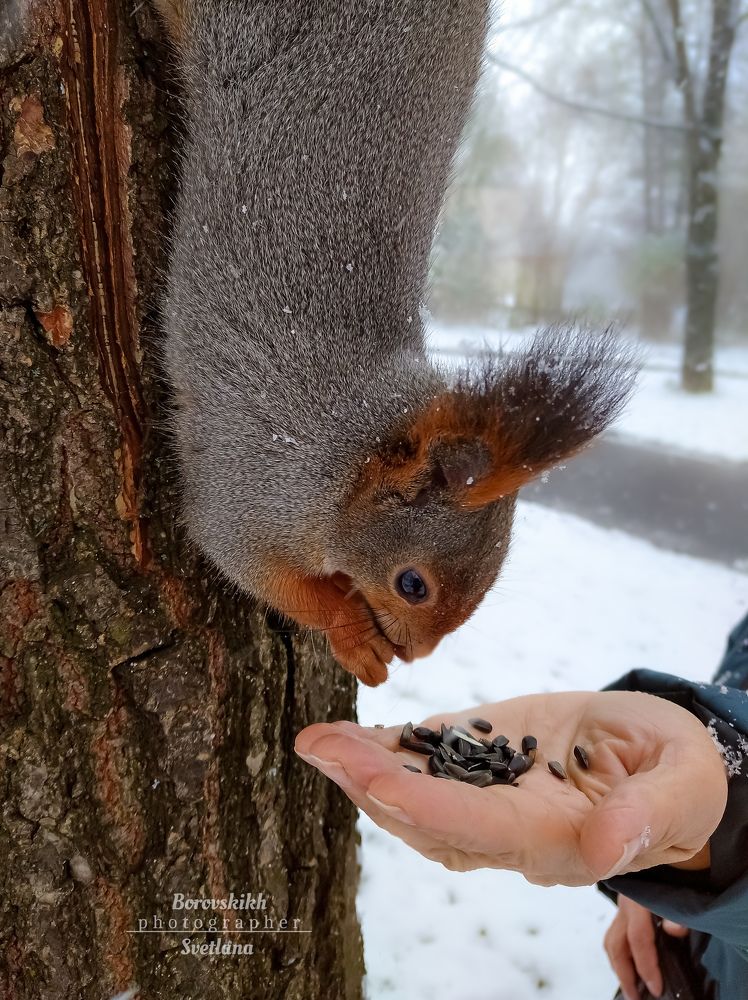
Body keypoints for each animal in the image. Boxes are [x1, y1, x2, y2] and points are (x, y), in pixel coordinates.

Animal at [153, 1, 636, 686]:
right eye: (413, 585)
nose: (416, 657)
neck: (349, 451)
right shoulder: (254, 486)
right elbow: (257, 569)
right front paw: (352, 629)